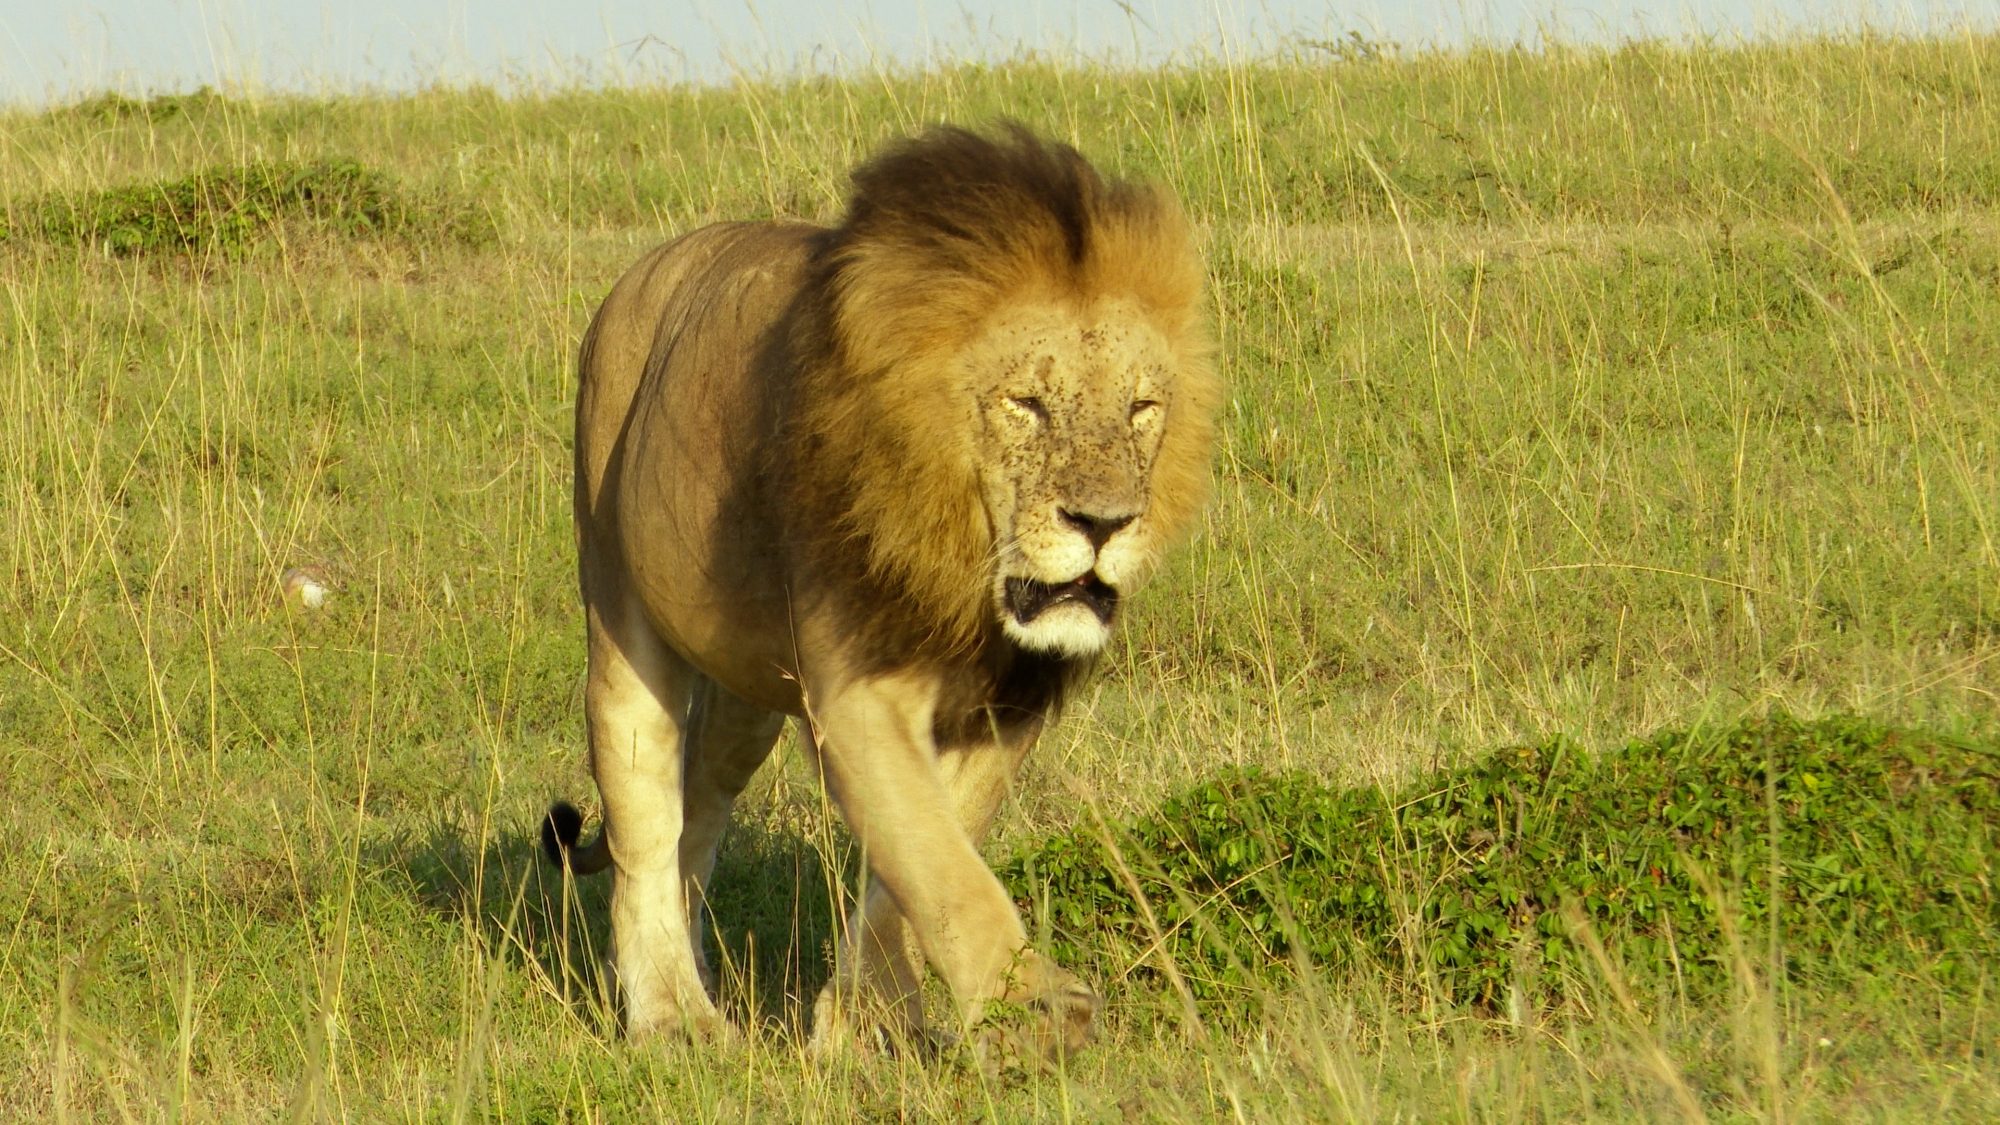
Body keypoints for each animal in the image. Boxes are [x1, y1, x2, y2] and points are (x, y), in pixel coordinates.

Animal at [540, 124, 1208, 1056]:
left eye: (1142, 408)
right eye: (1026, 404)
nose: (1105, 523)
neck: (969, 575)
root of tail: (644, 273)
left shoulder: (1006, 706)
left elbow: (924, 852)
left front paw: (866, 1023)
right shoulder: (857, 691)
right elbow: (939, 860)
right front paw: (1038, 1007)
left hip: (746, 691)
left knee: (698, 807)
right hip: (620, 610)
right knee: (644, 810)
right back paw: (674, 1016)